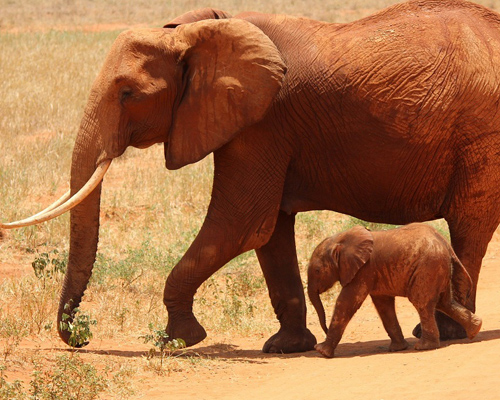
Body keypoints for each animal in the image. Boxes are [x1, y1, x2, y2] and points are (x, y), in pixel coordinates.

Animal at [306, 223, 482, 358]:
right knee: (444, 302)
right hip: (438, 268)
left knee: (422, 303)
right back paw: (475, 330)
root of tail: (446, 244)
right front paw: (398, 348)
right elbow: (383, 305)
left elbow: (346, 302)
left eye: (317, 271)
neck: (341, 239)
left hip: (428, 267)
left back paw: (424, 347)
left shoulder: (364, 270)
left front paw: (322, 351)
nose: (324, 329)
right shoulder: (374, 273)